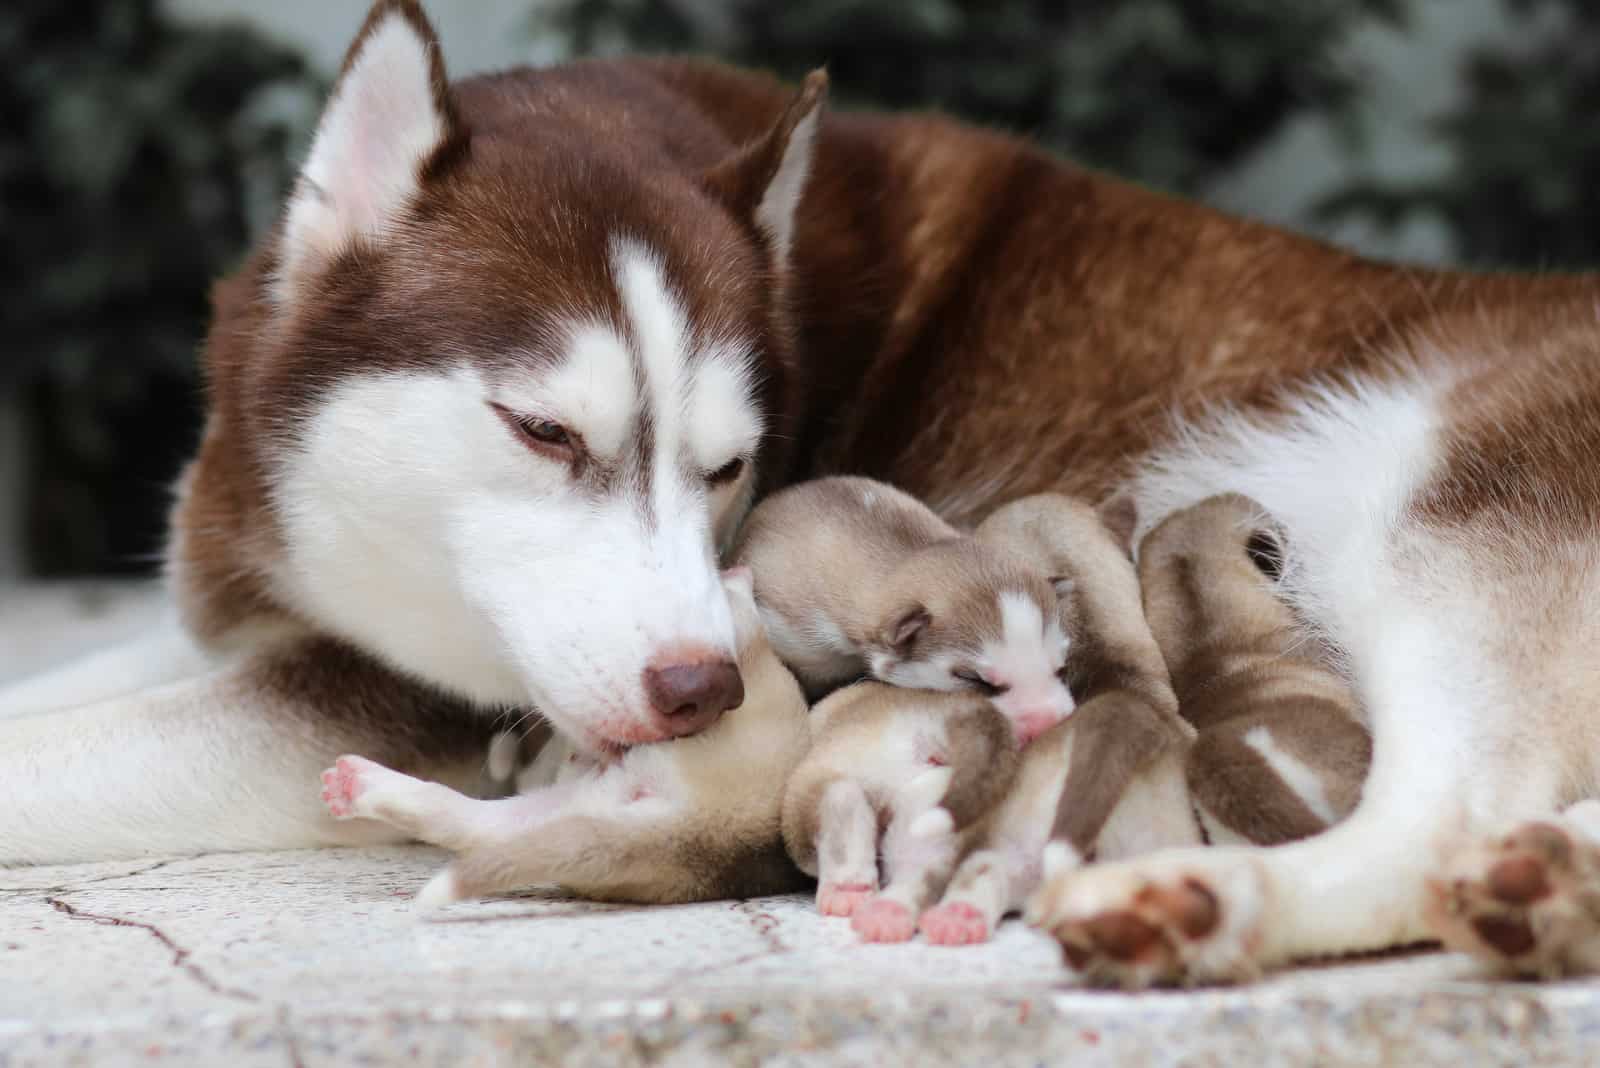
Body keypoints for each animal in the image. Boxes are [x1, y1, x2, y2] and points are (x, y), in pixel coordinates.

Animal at [780, 681, 1017, 940]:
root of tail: (945, 709)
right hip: (934, 801)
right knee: (920, 869)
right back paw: (888, 916)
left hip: (822, 780)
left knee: (842, 800)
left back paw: (847, 891)